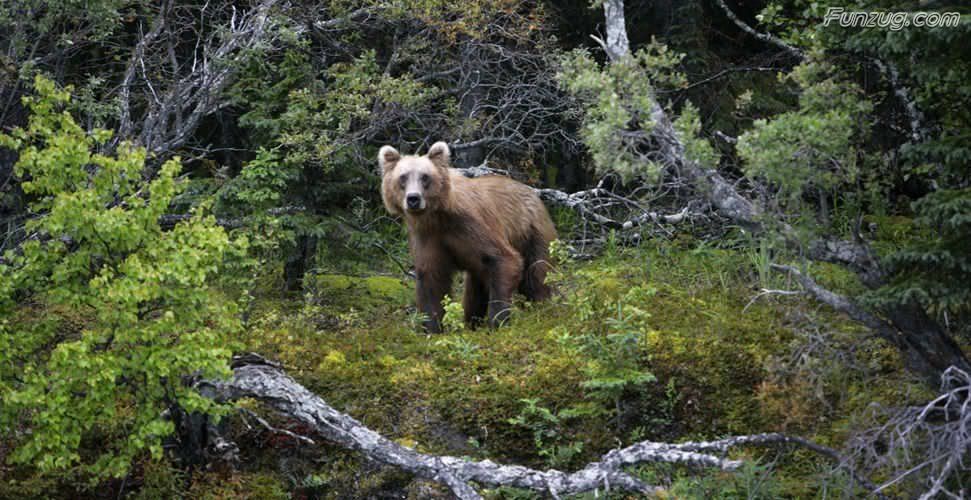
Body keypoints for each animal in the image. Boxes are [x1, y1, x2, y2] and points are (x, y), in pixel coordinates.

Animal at [379, 141, 557, 333]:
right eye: (402, 177)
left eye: (425, 177)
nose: (413, 198)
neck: (438, 217)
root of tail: (533, 193)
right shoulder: (427, 236)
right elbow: (431, 279)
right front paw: (431, 328)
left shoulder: (472, 226)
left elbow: (505, 259)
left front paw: (497, 322)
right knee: (474, 290)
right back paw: (472, 322)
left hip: (532, 232)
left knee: (536, 274)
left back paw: (542, 307)